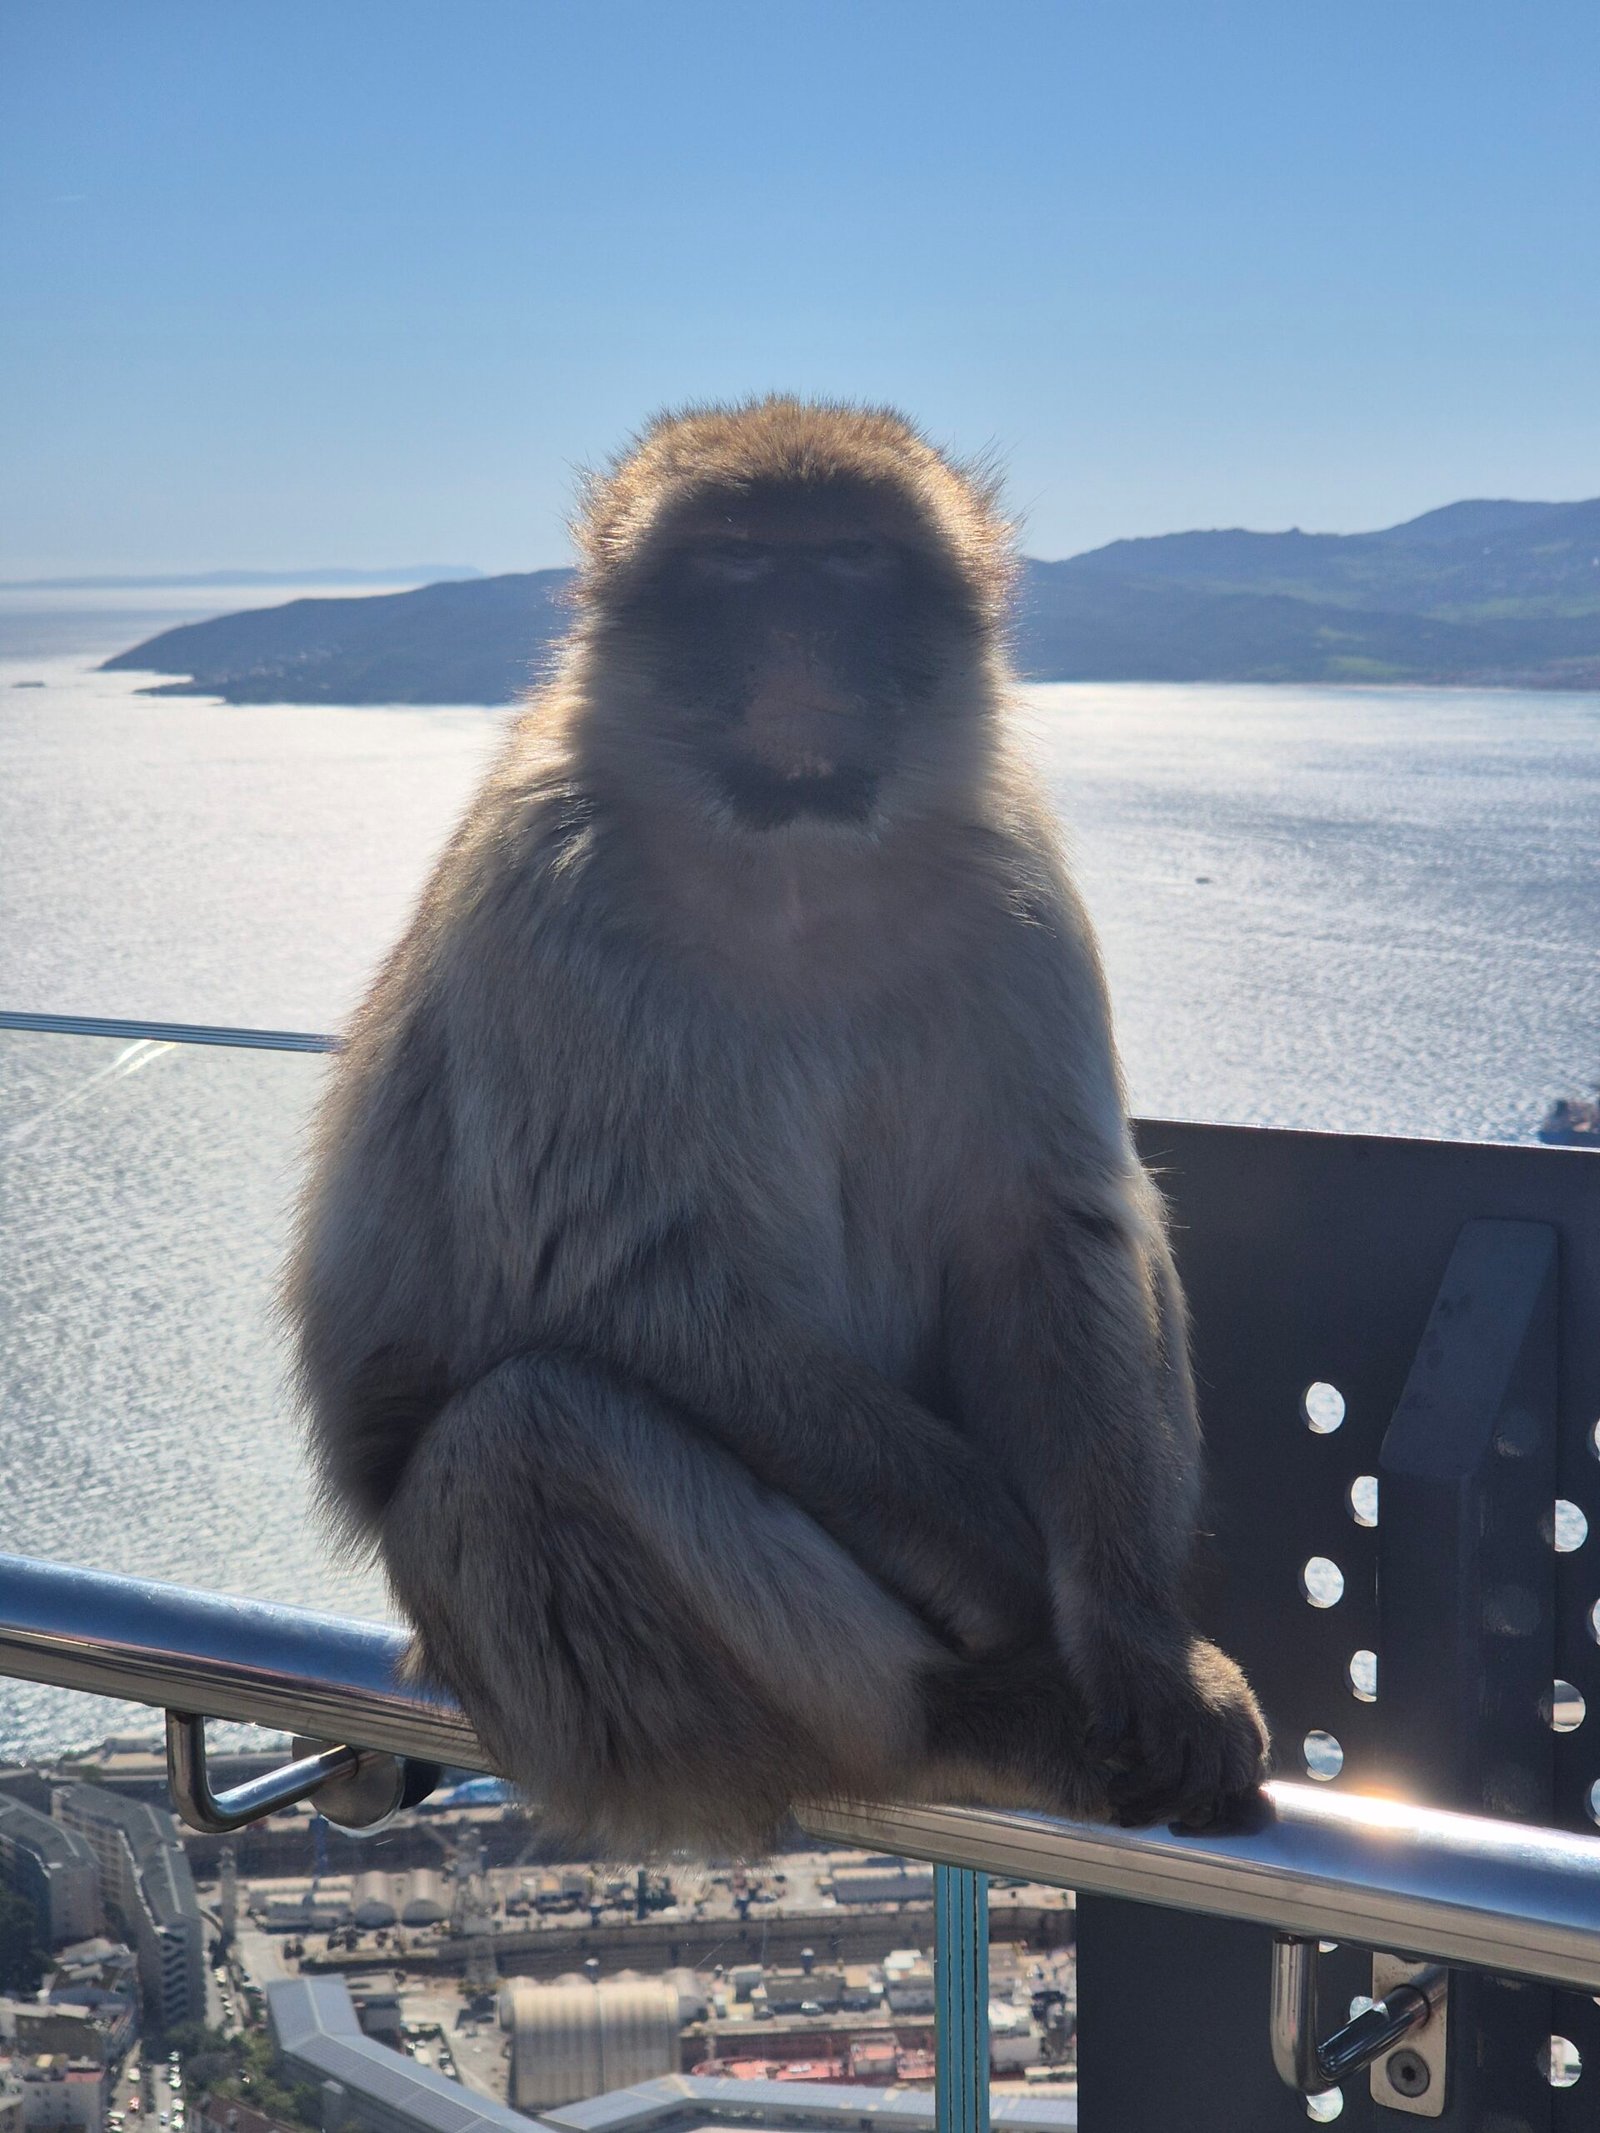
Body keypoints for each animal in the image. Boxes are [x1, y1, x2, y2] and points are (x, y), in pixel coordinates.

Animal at [285, 396, 1269, 1856]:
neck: (792, 858)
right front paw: (1011, 1576)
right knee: (516, 1438)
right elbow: (641, 1286)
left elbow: (1051, 1224)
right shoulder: (551, 897)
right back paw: (963, 1713)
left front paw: (1140, 1645)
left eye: (852, 560)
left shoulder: (1014, 883)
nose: (798, 637)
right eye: (741, 564)